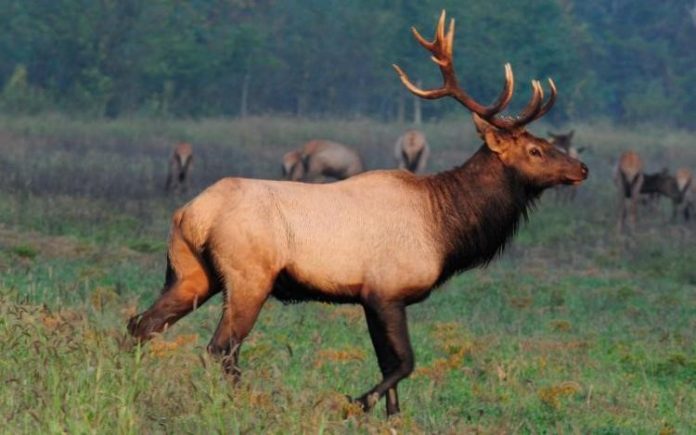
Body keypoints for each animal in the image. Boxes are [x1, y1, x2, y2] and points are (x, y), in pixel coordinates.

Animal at [127, 11, 588, 417]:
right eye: (536, 150)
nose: (582, 168)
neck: (446, 227)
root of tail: (192, 213)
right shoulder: (386, 290)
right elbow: (405, 362)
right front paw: (355, 402)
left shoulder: (372, 297)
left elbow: (390, 365)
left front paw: (391, 417)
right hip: (248, 277)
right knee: (221, 348)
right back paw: (245, 404)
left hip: (191, 273)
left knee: (141, 325)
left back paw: (127, 382)